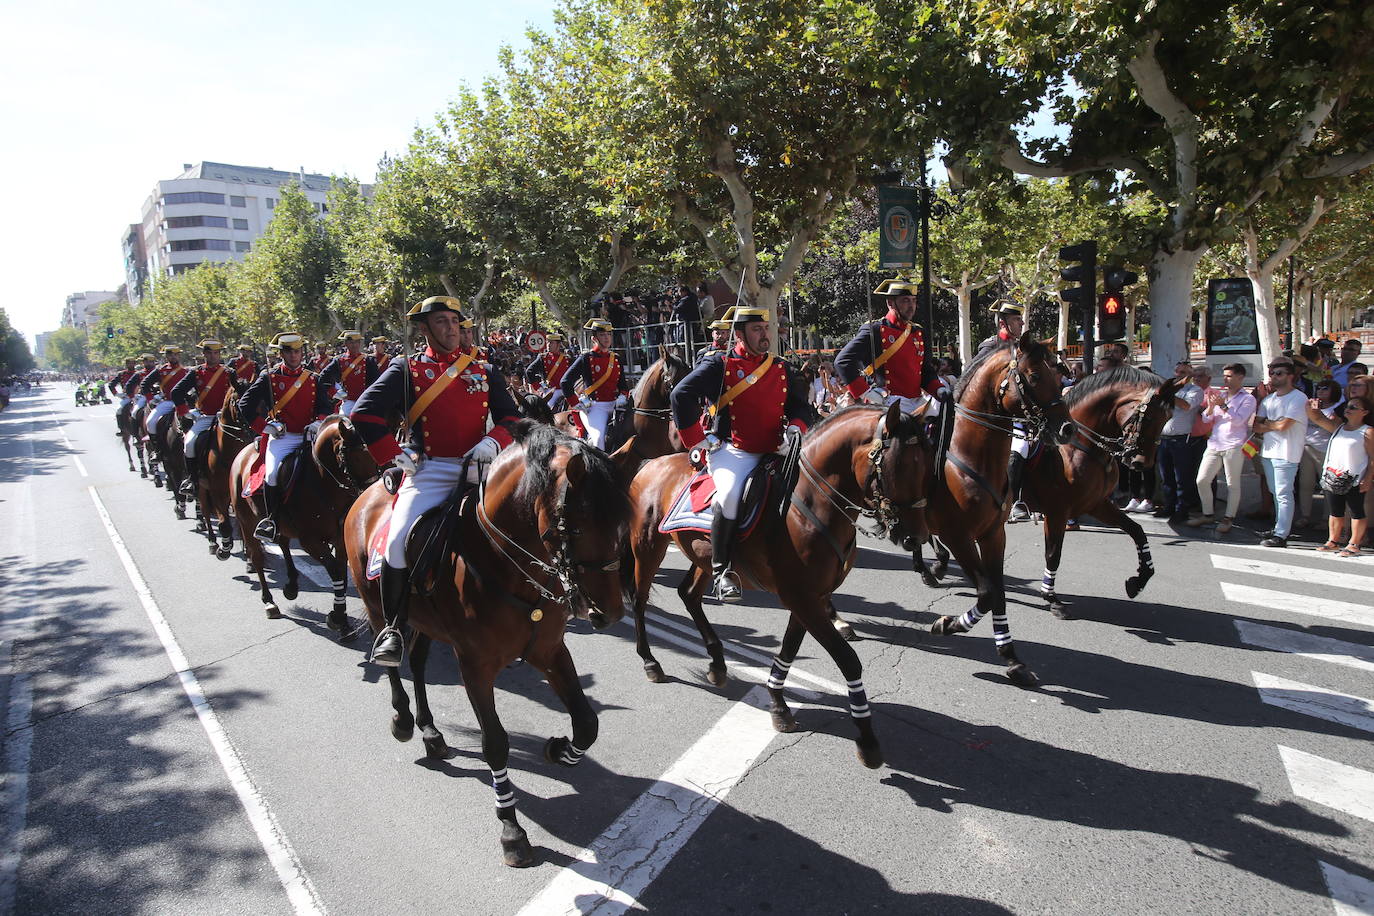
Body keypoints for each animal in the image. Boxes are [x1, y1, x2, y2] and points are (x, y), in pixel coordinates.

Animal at [228, 428, 354, 631]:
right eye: (345, 450)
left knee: (283, 543)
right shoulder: (310, 541)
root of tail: (242, 453)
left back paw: (292, 585)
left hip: (282, 524)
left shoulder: (339, 539)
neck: (322, 483)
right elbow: (335, 571)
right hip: (246, 521)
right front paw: (337, 616)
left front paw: (343, 622)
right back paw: (269, 602)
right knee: (257, 557)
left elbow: (342, 573)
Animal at [343, 420, 632, 867]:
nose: (611, 613)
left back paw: (431, 732)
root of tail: (370, 491)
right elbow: (495, 743)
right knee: (392, 662)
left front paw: (560, 751)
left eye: (621, 522)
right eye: (575, 524)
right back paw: (404, 720)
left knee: (419, 663)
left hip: (426, 624)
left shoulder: (549, 650)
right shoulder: (474, 666)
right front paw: (511, 830)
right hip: (379, 608)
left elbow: (587, 722)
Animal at [626, 403, 928, 769]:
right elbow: (848, 660)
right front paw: (867, 740)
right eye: (900, 464)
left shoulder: (810, 597)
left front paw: (778, 703)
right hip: (647, 546)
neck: (811, 502)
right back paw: (651, 662)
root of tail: (651, 463)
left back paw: (717, 663)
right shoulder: (802, 597)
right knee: (639, 601)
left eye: (926, 462)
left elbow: (788, 649)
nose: (918, 536)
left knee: (688, 595)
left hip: (703, 556)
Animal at [928, 333, 1077, 683]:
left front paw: (1011, 657)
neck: (967, 457)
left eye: (1058, 374)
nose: (1067, 428)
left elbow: (997, 592)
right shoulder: (959, 537)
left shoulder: (993, 534)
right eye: (1034, 376)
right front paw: (948, 624)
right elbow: (985, 593)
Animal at [1022, 362, 1181, 615]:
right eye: (1148, 416)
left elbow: (1137, 530)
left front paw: (1139, 580)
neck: (1077, 448)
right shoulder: (1057, 512)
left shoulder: (1096, 504)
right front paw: (1050, 596)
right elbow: (1053, 553)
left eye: (1168, 417)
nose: (1140, 463)